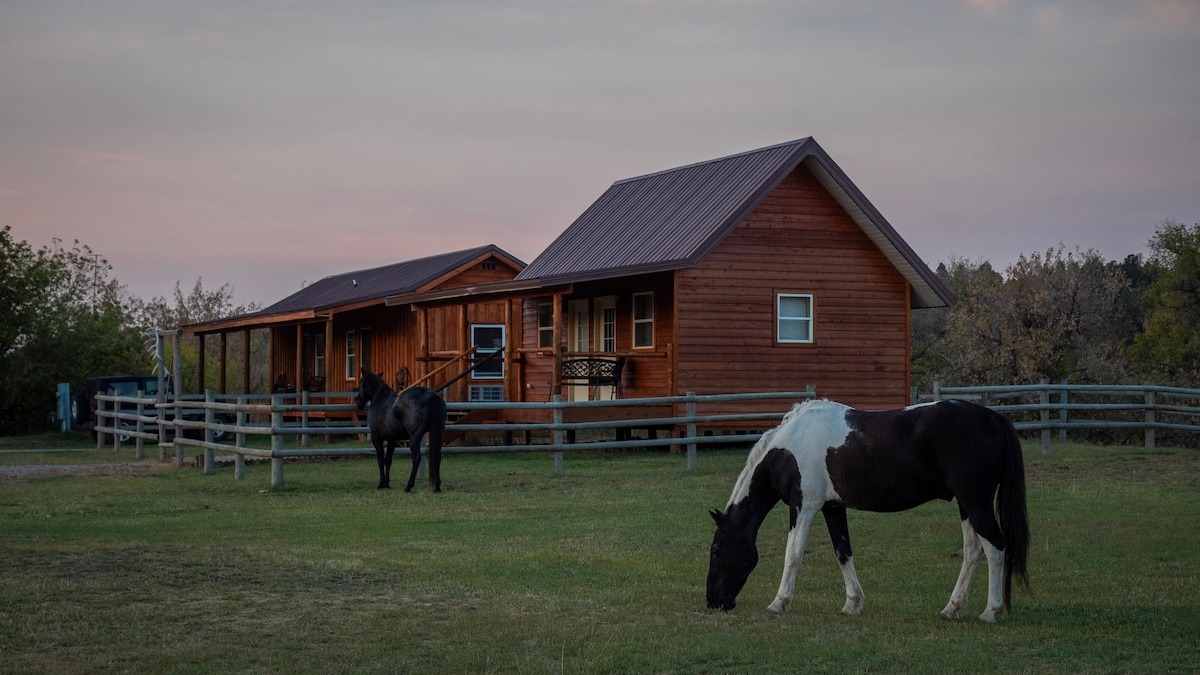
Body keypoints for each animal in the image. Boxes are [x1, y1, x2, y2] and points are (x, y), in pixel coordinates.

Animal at [700, 396, 1032, 624]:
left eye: (715, 551)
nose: (713, 601)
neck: (788, 447)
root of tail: (993, 418)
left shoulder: (804, 506)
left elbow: (793, 554)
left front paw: (779, 602)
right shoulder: (833, 508)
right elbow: (843, 553)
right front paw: (852, 604)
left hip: (976, 503)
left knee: (995, 547)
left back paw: (990, 611)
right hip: (966, 505)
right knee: (972, 552)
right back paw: (952, 608)